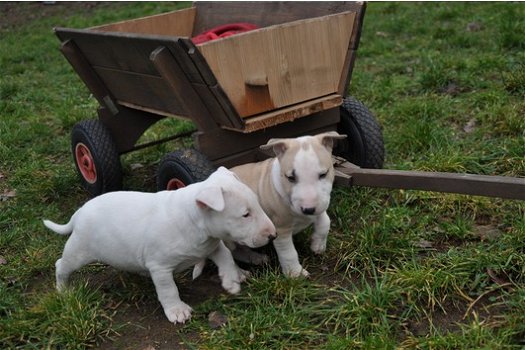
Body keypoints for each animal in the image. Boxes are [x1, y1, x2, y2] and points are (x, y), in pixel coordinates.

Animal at [229, 131, 344, 276]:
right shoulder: (280, 229)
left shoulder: (321, 206)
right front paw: (295, 274)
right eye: (291, 178)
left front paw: (318, 245)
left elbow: (325, 222)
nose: (308, 209)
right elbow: (288, 252)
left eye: (323, 174)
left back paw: (256, 258)